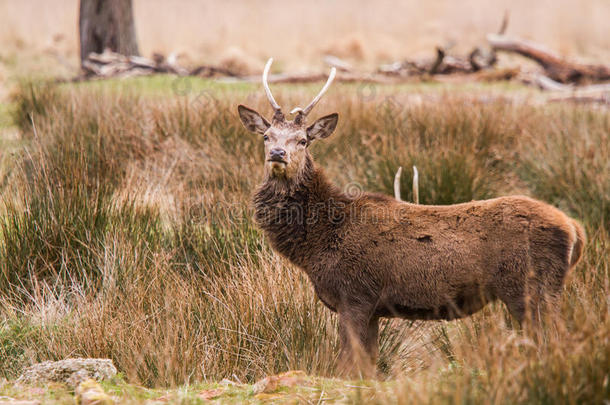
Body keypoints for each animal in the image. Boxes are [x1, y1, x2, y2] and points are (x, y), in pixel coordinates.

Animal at [236, 58, 584, 374]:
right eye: (266, 136)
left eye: (303, 140)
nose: (277, 154)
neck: (316, 246)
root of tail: (575, 228)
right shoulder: (371, 308)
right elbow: (368, 365)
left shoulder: (355, 295)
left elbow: (349, 365)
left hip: (530, 287)